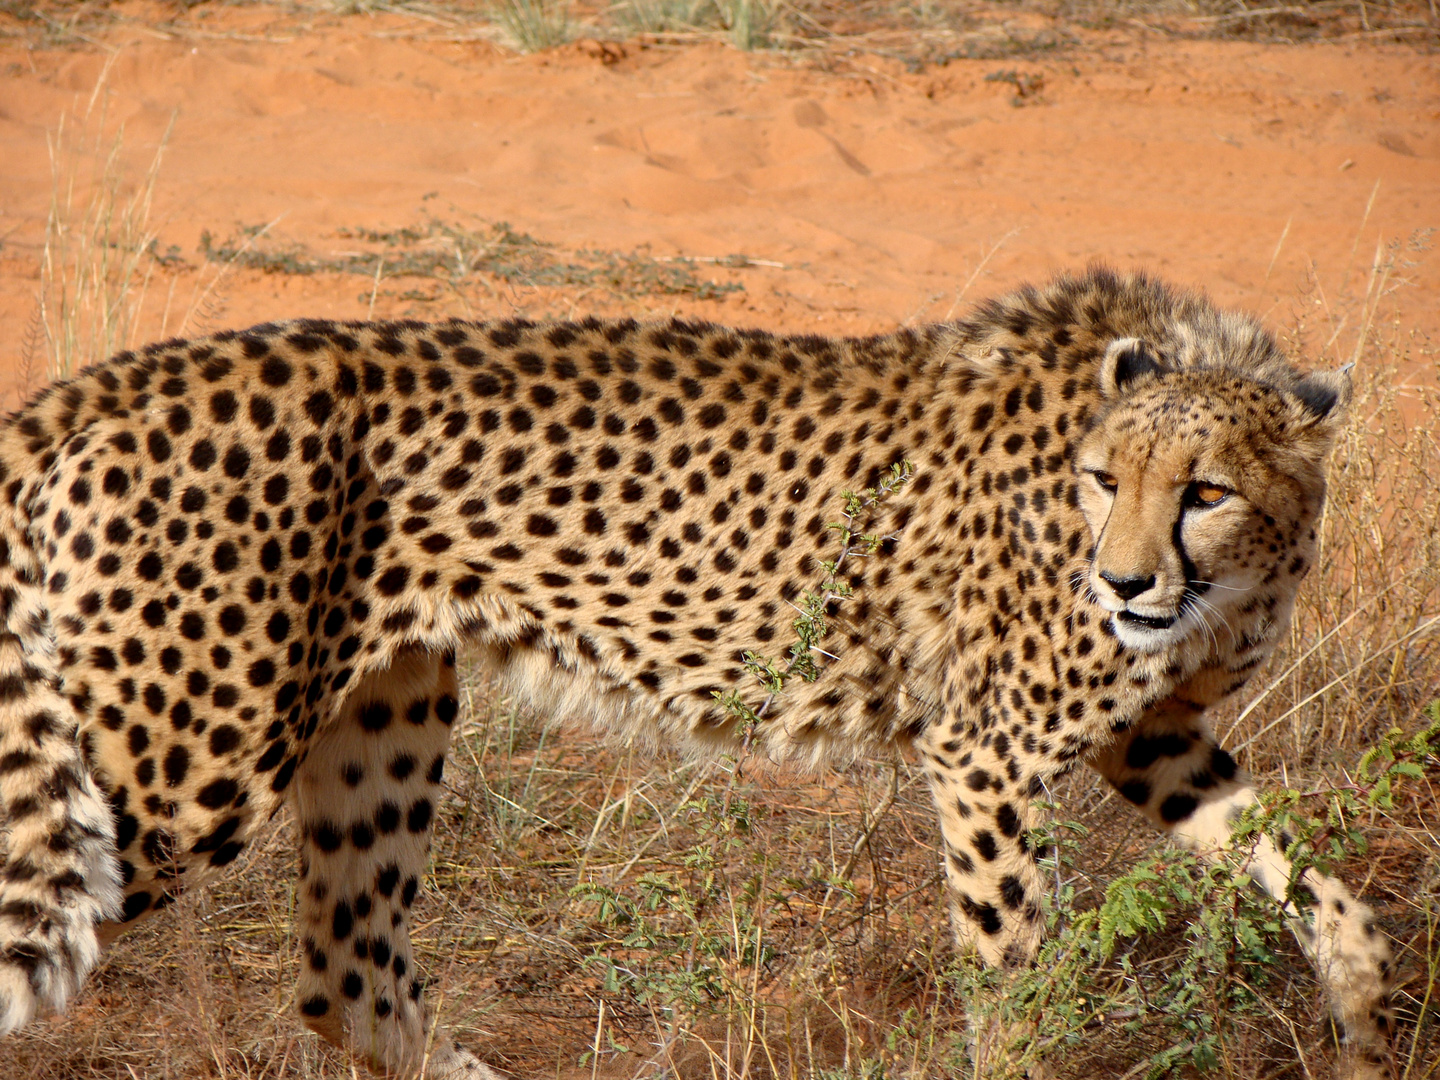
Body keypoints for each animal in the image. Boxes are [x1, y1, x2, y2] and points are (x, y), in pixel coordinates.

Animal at [0, 269, 1393, 1077]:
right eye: (1107, 478)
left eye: (1204, 490)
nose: (1122, 584)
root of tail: (150, 368)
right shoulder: (987, 754)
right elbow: (1015, 984)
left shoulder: (1149, 737)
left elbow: (1320, 884)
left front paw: (1372, 1027)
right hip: (190, 768)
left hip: (383, 711)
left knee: (348, 977)